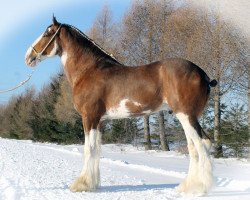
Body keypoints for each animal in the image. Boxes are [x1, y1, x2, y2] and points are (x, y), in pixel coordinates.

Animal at [24, 16, 217, 195]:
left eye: (47, 32)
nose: (28, 57)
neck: (89, 70)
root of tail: (202, 74)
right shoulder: (100, 121)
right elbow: (97, 150)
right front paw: (93, 184)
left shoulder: (89, 118)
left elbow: (89, 149)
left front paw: (82, 184)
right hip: (186, 116)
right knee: (194, 147)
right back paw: (187, 186)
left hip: (186, 115)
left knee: (201, 144)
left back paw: (199, 187)